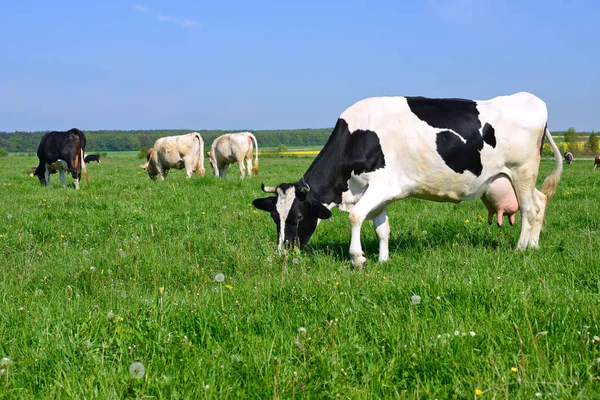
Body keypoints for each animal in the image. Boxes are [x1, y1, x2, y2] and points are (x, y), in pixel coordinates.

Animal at [252, 92, 564, 268]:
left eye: (296, 218)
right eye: (275, 218)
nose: (283, 253)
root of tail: (530, 98)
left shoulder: (381, 185)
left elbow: (354, 217)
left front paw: (358, 258)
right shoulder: (379, 194)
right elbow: (381, 229)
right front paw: (383, 260)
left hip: (522, 171)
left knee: (530, 209)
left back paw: (521, 248)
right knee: (540, 202)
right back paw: (534, 246)